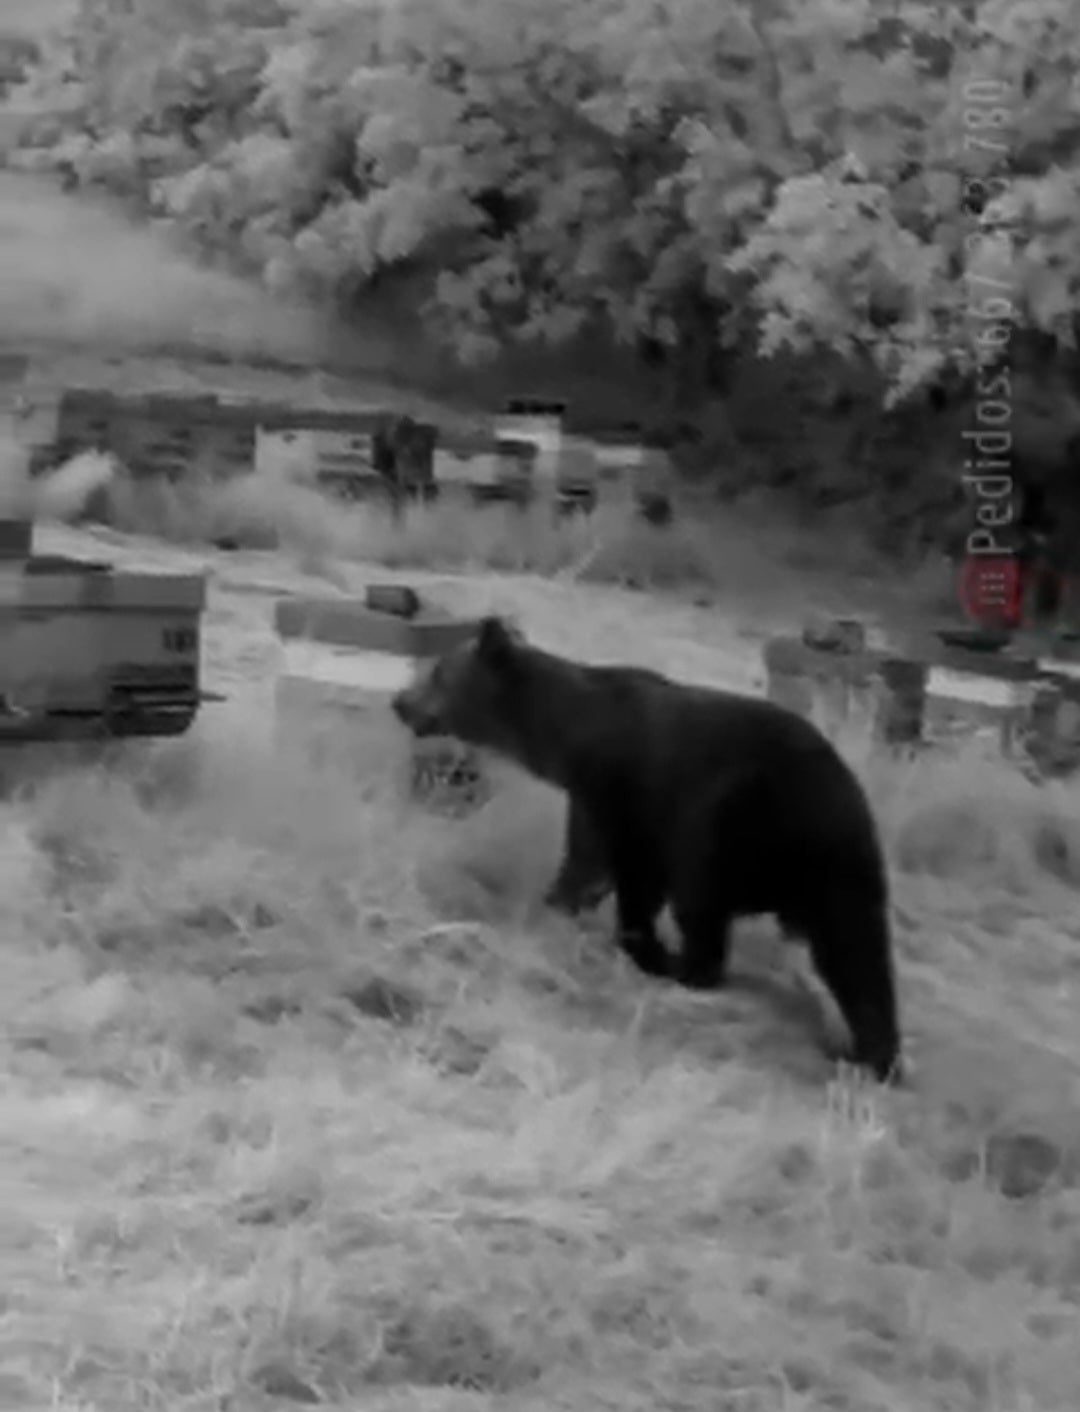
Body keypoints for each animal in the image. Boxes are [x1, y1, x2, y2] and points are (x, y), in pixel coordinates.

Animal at [391, 616, 903, 1083]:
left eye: (438, 673)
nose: (399, 702)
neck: (572, 737)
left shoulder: (631, 791)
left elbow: (618, 867)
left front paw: (619, 934)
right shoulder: (609, 802)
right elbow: (607, 867)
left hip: (736, 819)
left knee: (706, 905)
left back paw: (683, 967)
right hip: (841, 864)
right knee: (857, 952)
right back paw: (875, 1053)